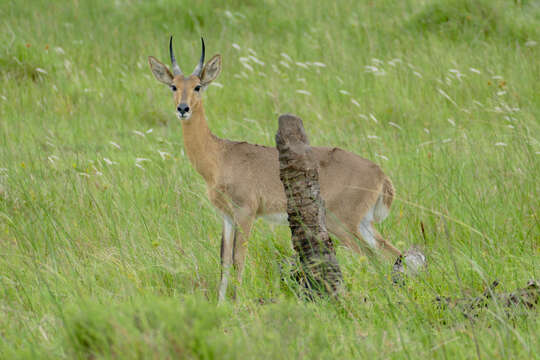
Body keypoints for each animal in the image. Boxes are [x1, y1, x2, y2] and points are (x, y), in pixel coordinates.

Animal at [148, 37, 404, 300]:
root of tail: (381, 174)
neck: (220, 156)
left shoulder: (246, 212)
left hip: (342, 223)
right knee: (390, 254)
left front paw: (237, 302)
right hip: (363, 224)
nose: (183, 108)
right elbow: (224, 261)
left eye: (198, 86)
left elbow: (239, 259)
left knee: (371, 257)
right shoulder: (226, 216)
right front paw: (220, 304)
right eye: (173, 86)